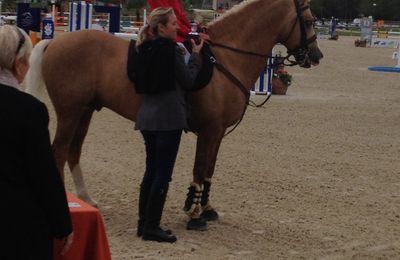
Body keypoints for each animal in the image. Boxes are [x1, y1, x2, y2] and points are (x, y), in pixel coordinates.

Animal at [25, 0, 322, 230]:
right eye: (309, 20)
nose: (316, 56)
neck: (225, 58)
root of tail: (55, 42)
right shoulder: (209, 131)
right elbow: (199, 169)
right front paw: (194, 215)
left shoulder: (217, 134)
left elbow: (209, 170)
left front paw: (207, 208)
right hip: (70, 112)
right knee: (59, 152)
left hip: (85, 111)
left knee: (73, 151)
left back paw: (87, 199)